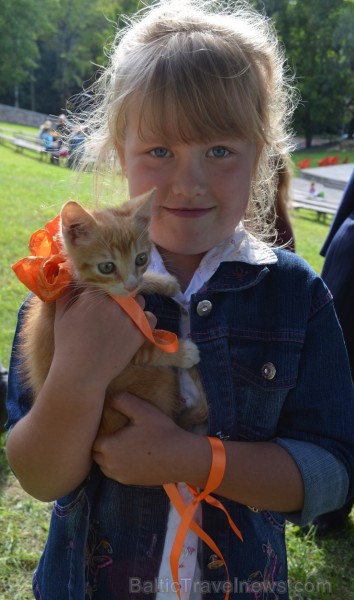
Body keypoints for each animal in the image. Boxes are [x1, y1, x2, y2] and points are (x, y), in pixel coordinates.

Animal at [18, 191, 207, 432]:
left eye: (141, 259)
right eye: (106, 267)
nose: (131, 285)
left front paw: (163, 282)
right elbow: (144, 349)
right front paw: (182, 352)